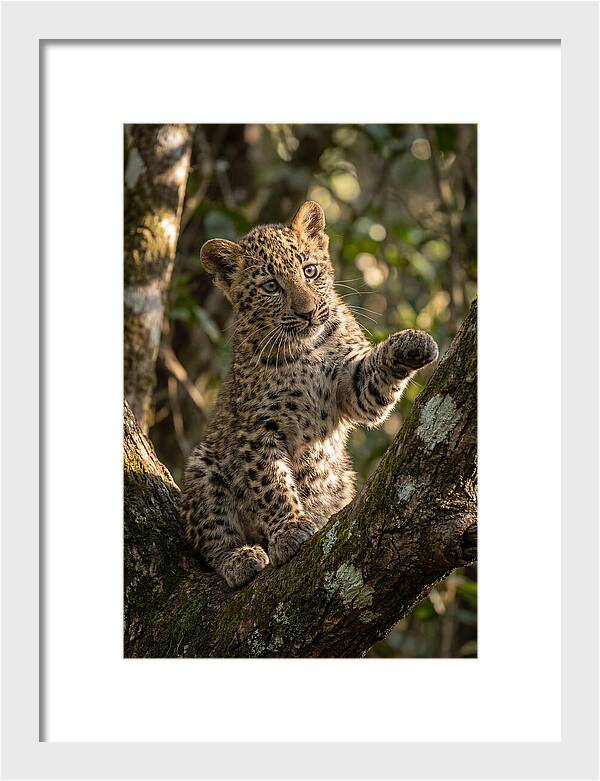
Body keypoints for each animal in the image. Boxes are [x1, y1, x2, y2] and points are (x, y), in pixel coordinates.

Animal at [181, 201, 438, 588]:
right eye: (271, 286)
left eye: (310, 270)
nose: (307, 313)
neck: (306, 350)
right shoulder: (258, 428)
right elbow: (271, 483)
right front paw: (289, 530)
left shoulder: (352, 388)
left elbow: (373, 380)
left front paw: (413, 343)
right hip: (204, 465)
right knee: (209, 537)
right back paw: (240, 557)